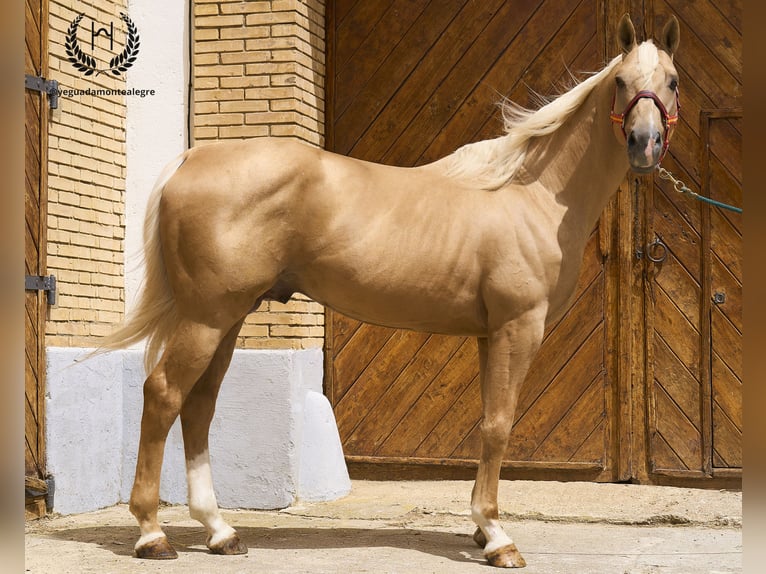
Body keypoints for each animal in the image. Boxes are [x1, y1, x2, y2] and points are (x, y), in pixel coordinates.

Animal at [102, 13, 684, 572]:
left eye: (672, 82)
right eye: (622, 82)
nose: (644, 145)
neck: (530, 193)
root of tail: (191, 160)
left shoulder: (490, 333)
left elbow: (487, 421)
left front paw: (481, 529)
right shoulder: (518, 326)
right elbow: (499, 424)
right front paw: (497, 537)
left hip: (229, 316)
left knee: (200, 403)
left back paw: (220, 531)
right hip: (207, 316)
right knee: (164, 395)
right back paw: (153, 534)